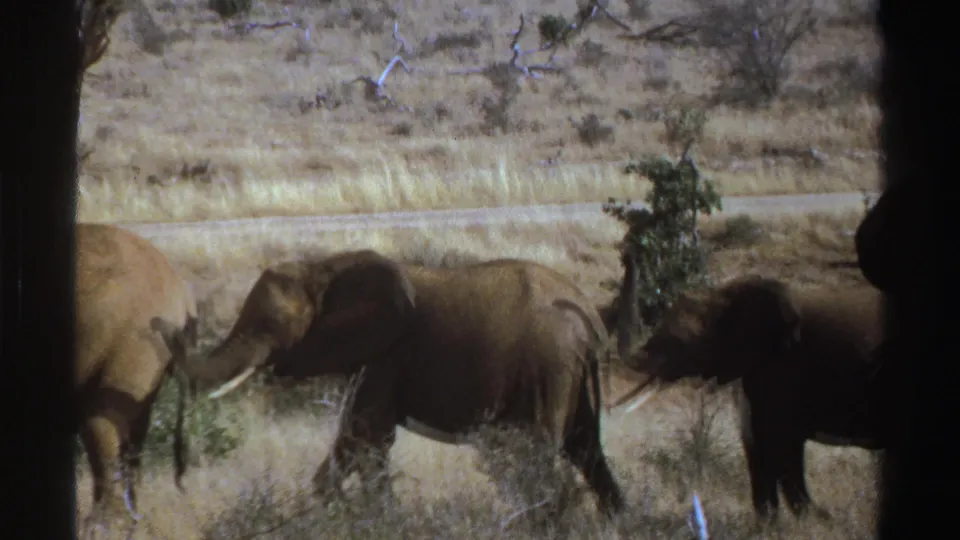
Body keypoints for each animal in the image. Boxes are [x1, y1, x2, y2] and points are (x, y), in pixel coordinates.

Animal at [152, 249, 626, 517]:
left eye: (270, 324)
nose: (161, 323)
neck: (323, 268)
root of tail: (591, 319)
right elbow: (351, 443)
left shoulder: (385, 357)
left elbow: (367, 438)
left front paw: (379, 520)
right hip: (571, 376)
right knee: (589, 452)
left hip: (548, 368)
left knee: (542, 461)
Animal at [606, 258, 888, 521]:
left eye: (681, 344)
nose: (628, 254)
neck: (726, 294)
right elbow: (760, 446)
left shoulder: (785, 368)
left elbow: (782, 445)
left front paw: (811, 521)